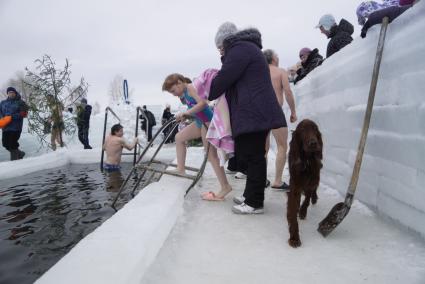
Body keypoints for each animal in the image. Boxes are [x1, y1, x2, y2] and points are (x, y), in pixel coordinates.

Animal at [286, 118, 322, 247]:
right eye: (302, 130)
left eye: (315, 129)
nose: (313, 143)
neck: (306, 161)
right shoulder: (295, 186)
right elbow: (292, 211)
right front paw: (294, 238)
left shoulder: (312, 180)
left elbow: (307, 198)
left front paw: (302, 211)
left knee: (313, 190)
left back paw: (314, 198)